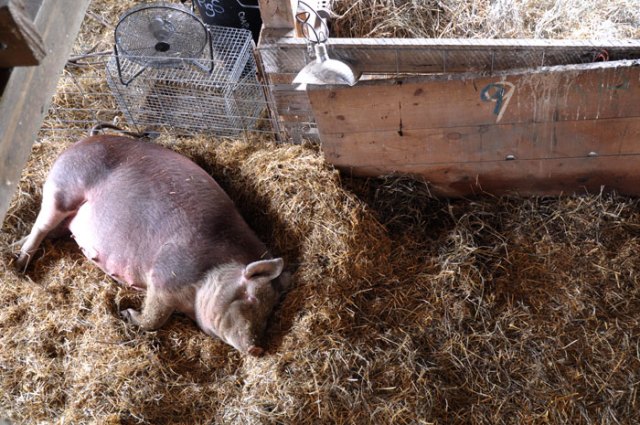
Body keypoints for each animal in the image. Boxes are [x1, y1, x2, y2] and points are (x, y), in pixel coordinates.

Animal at [16, 134, 287, 356]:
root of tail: (78, 143)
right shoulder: (164, 276)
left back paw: (14, 247)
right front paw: (125, 312)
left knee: (46, 231)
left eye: (270, 311)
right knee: (41, 227)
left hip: (66, 217)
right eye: (249, 298)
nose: (258, 349)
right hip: (63, 190)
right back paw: (20, 264)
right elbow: (154, 318)